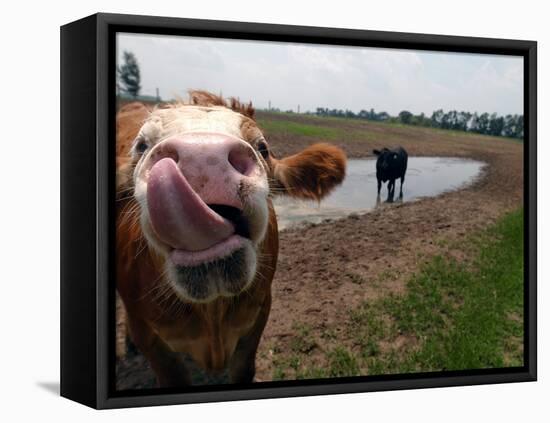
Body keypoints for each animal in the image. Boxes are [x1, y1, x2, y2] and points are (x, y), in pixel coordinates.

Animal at [116, 92, 348, 388]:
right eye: (141, 145)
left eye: (262, 147)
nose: (202, 157)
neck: (212, 314)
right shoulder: (150, 337)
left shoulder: (257, 318)